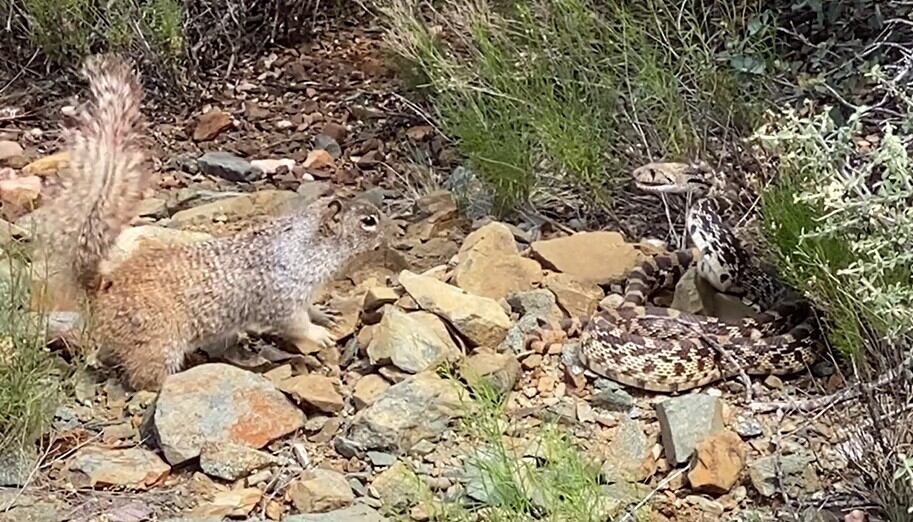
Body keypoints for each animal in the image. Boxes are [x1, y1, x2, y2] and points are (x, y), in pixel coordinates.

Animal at [43, 54, 388, 391]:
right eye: (368, 221)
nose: (389, 234)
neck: (310, 244)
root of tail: (102, 285)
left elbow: (311, 310)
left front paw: (325, 315)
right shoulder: (283, 294)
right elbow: (294, 323)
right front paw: (319, 335)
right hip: (158, 340)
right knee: (144, 378)